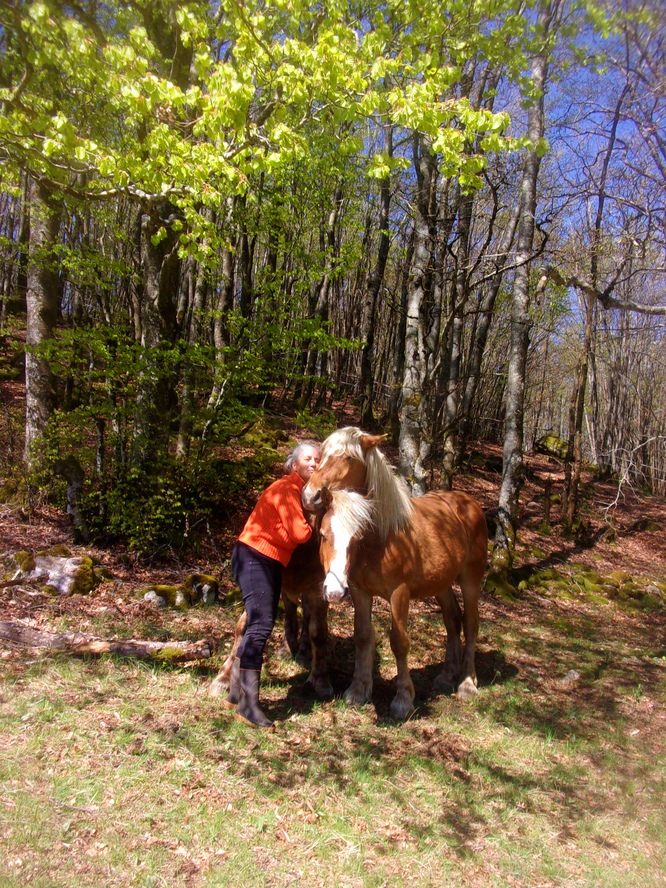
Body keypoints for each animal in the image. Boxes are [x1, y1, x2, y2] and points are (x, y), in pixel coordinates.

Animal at [208, 536, 332, 700]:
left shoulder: (320, 584)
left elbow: (318, 632)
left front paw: (321, 681)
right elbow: (242, 627)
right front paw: (223, 678)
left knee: (306, 612)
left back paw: (304, 653)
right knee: (291, 607)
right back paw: (289, 648)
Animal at [304, 426, 486, 720]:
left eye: (348, 458)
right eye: (321, 455)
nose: (310, 496)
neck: (382, 535)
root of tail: (468, 501)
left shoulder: (399, 594)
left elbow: (399, 641)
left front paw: (403, 699)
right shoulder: (360, 591)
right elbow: (363, 635)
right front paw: (358, 690)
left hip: (471, 579)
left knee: (470, 624)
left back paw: (467, 682)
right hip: (442, 584)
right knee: (452, 620)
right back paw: (447, 677)